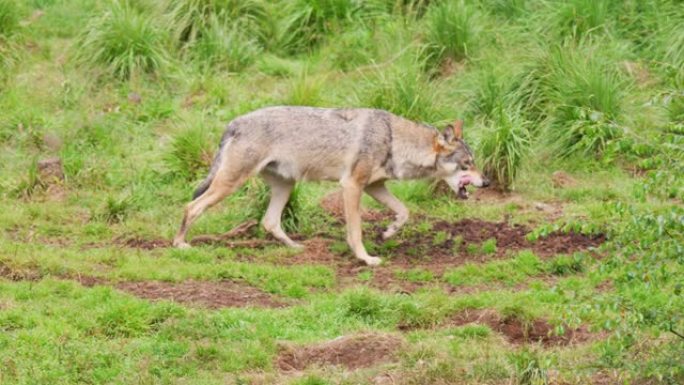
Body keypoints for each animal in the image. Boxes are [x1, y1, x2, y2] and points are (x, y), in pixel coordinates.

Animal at [174, 106, 488, 266]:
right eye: (468, 163)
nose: (487, 181)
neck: (393, 139)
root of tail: (233, 122)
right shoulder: (352, 186)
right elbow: (355, 230)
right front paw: (365, 258)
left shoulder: (375, 187)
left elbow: (404, 212)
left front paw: (388, 232)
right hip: (230, 184)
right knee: (191, 206)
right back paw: (180, 244)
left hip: (285, 186)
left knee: (269, 221)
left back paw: (296, 248)